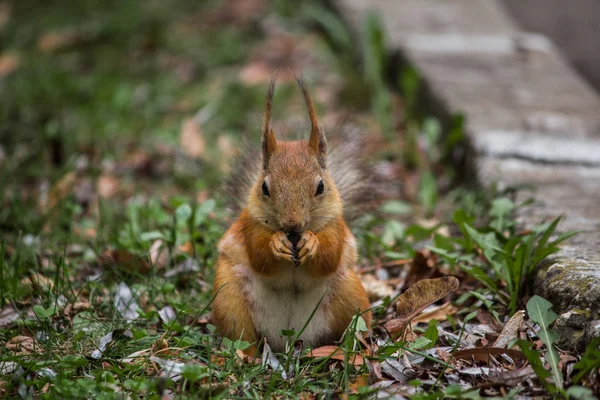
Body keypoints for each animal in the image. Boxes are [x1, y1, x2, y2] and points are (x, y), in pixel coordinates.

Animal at [211, 73, 382, 354]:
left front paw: (312, 243)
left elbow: (329, 256)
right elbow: (259, 255)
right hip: (228, 298)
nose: (292, 224)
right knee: (241, 335)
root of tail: (288, 337)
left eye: (321, 187)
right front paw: (275, 244)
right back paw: (243, 356)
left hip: (350, 293)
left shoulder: (335, 225)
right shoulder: (250, 225)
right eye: (264, 188)